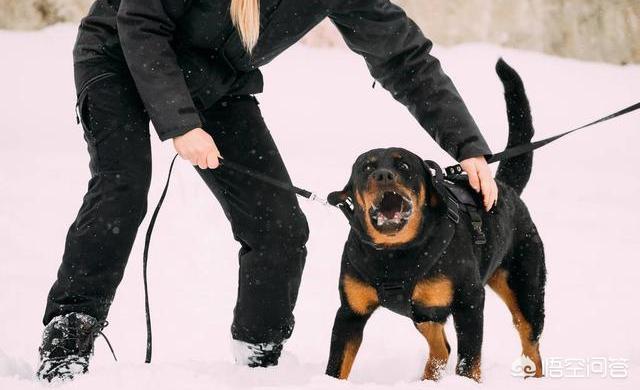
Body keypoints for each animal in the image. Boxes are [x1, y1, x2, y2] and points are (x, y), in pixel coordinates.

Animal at [324, 60, 544, 380]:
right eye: (366, 168)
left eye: (404, 166)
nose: (383, 175)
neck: (395, 255)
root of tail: (506, 188)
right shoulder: (350, 311)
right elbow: (337, 364)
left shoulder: (470, 301)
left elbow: (469, 361)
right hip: (425, 311)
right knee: (441, 347)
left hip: (525, 287)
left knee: (531, 344)